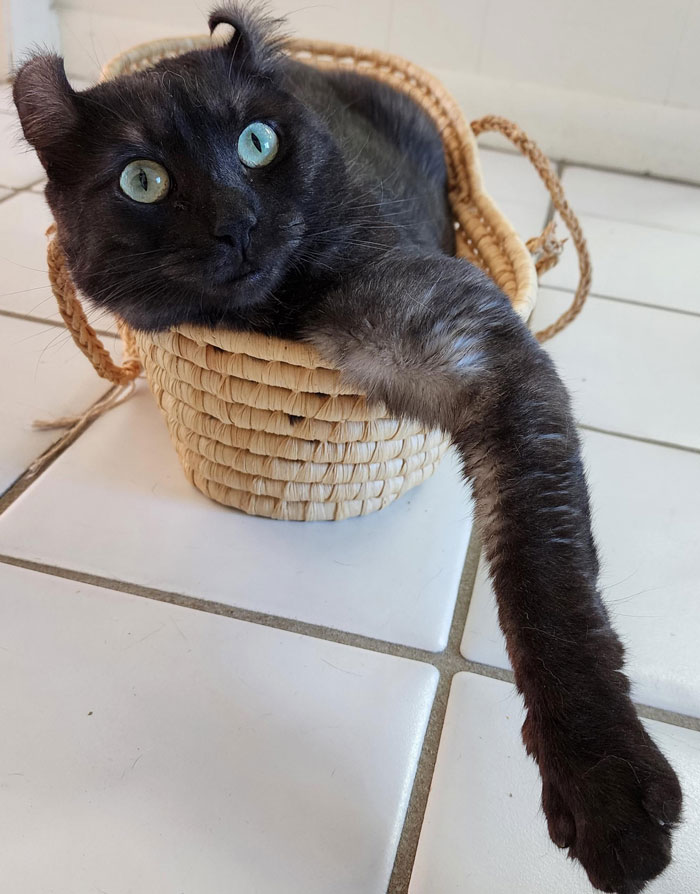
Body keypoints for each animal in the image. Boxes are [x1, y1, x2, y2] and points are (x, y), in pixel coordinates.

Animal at [13, 3, 684, 892]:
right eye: (142, 180)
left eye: (258, 143)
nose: (237, 223)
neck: (277, 315)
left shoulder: (482, 353)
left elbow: (549, 580)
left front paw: (605, 785)